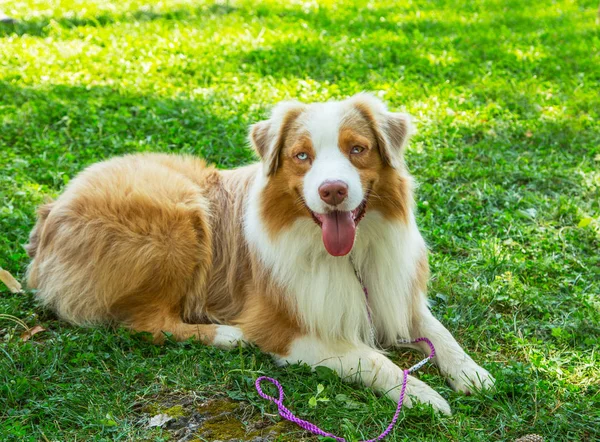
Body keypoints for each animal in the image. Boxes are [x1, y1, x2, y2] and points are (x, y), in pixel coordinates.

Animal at [25, 93, 494, 414]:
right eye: (302, 156)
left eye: (357, 150)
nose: (333, 190)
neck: (349, 254)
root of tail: (52, 210)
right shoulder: (284, 329)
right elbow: (372, 359)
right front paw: (422, 394)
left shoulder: (389, 293)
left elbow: (438, 332)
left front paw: (472, 372)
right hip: (178, 219)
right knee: (143, 323)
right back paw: (227, 336)